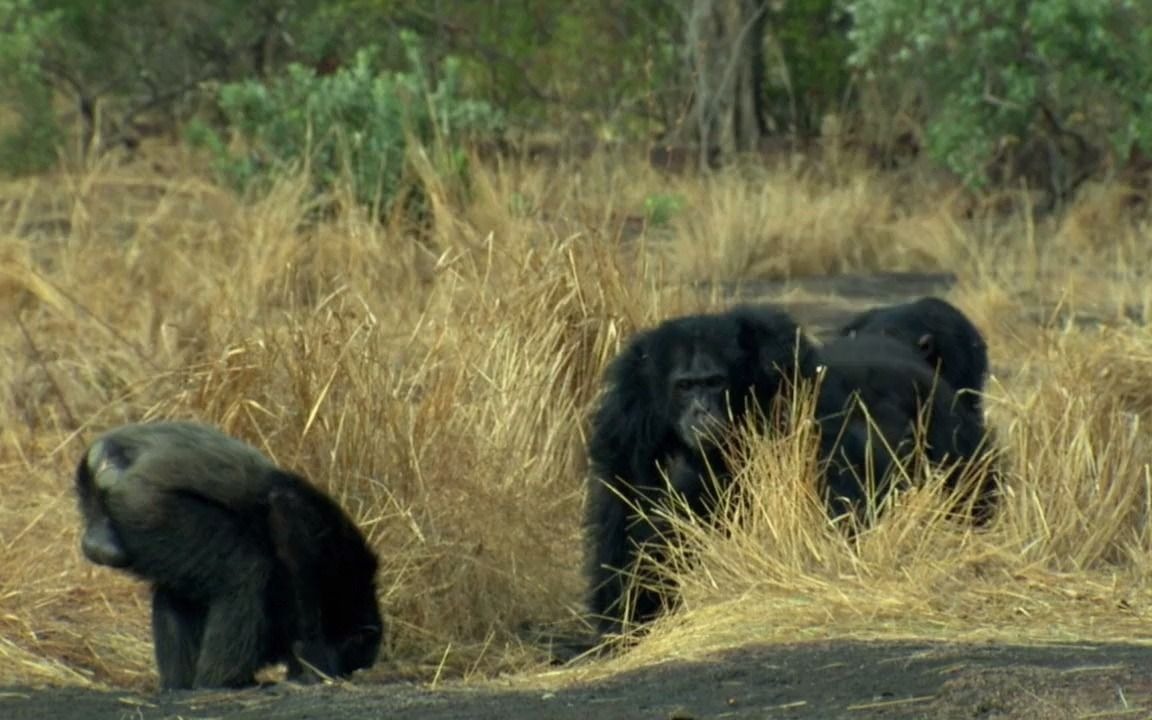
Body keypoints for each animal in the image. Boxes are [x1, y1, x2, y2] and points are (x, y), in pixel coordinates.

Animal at [74, 421, 384, 691]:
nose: (348, 671)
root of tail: (104, 457)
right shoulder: (320, 529)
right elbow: (288, 524)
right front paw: (312, 662)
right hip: (148, 509)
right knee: (243, 571)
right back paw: (225, 682)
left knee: (174, 592)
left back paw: (180, 686)